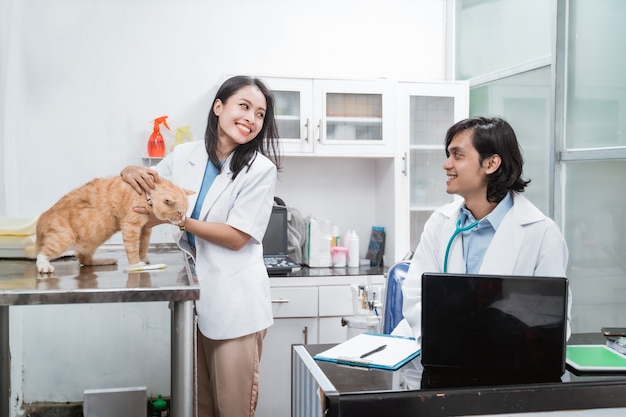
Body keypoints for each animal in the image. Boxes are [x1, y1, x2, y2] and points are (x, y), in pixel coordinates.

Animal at [25, 176, 193, 272]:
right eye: (179, 213)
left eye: (185, 212)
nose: (182, 221)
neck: (146, 194)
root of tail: (43, 216)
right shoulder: (131, 226)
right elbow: (133, 249)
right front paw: (136, 264)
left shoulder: (145, 229)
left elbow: (143, 246)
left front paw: (143, 258)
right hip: (63, 239)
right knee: (42, 254)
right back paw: (44, 266)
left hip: (89, 243)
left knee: (84, 261)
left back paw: (106, 260)